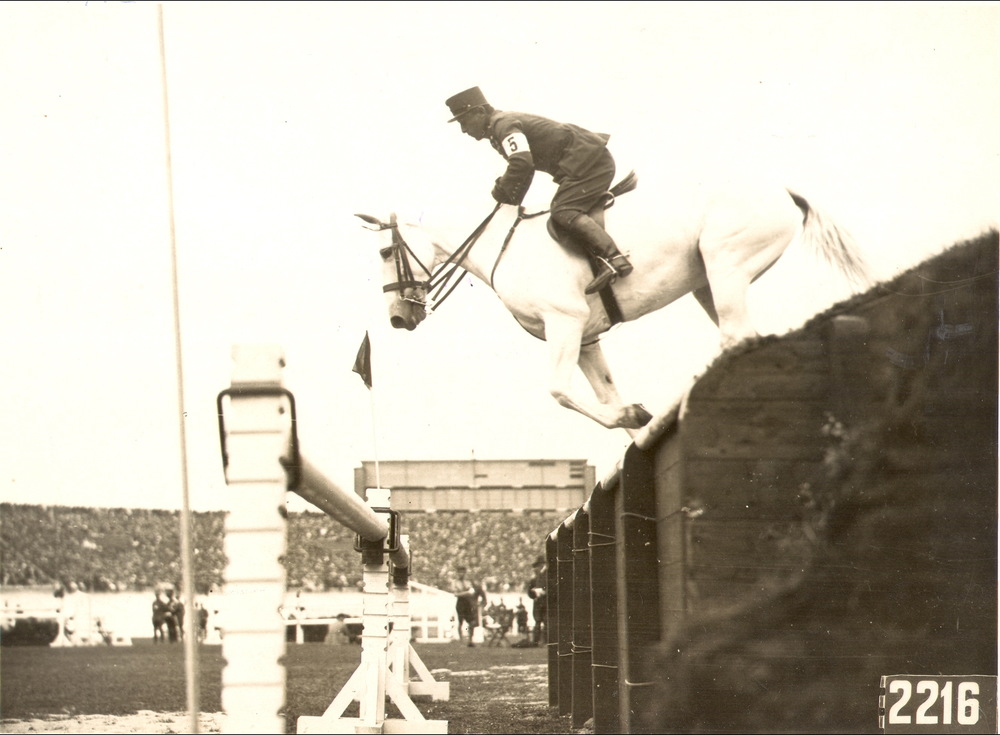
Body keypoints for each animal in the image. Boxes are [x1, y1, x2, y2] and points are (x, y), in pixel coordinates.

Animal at [357, 170, 871, 434]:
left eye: (383, 253)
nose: (398, 318)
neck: (504, 247)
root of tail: (781, 190)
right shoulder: (585, 339)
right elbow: (607, 397)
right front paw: (634, 420)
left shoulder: (564, 324)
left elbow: (559, 391)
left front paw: (632, 415)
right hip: (711, 281)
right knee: (746, 338)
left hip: (726, 265)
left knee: (736, 335)